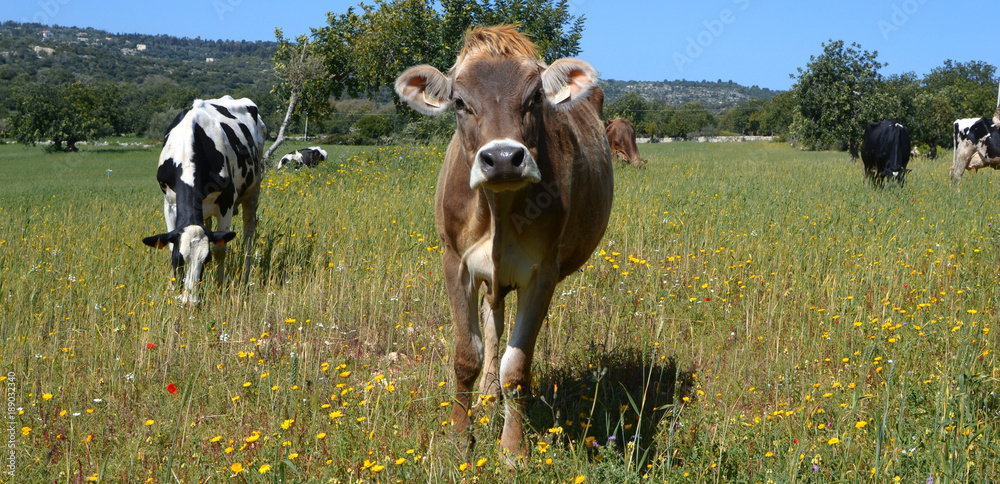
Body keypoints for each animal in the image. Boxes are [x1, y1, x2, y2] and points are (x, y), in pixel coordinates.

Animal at [142, 95, 266, 302]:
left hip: (253, 188)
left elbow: (220, 250)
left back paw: (246, 275)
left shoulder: (226, 203)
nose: (190, 303)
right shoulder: (169, 204)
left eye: (205, 260)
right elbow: (169, 245)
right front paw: (173, 288)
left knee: (249, 233)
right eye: (179, 260)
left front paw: (220, 287)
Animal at [394, 25, 612, 462]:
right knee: (491, 323)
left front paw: (513, 450)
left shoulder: (543, 273)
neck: (497, 210)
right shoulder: (455, 262)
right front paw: (460, 437)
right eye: (460, 102)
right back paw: (486, 397)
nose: (504, 158)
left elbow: (517, 366)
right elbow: (467, 354)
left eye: (535, 98)